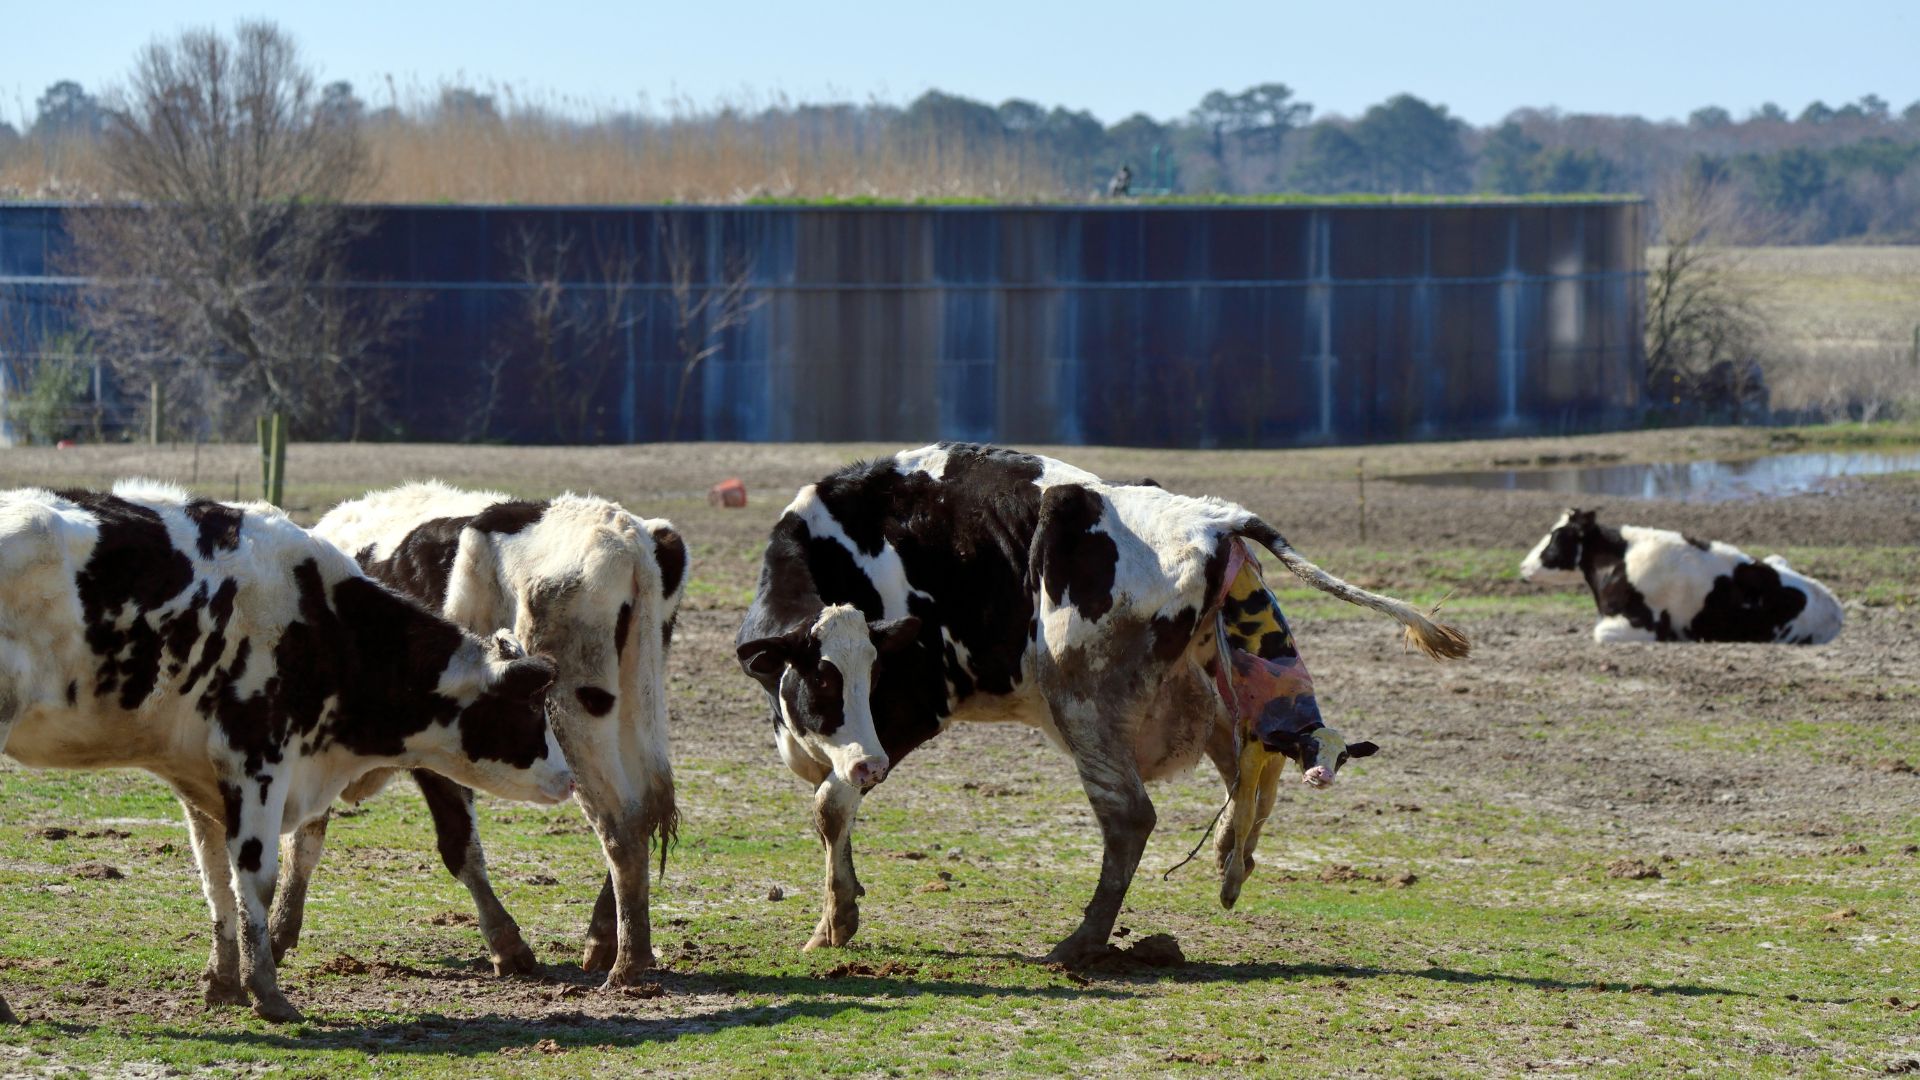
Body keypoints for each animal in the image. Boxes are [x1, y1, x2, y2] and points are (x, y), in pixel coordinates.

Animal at [0, 478, 568, 1014]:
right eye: (529, 706)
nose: (567, 777)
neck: (324, 624)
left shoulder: (199, 774)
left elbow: (217, 880)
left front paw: (223, 981)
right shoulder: (257, 761)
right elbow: (257, 877)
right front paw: (267, 991)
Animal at [268, 484, 691, 991]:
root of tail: (623, 532)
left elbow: (452, 845)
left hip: (575, 721)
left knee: (620, 821)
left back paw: (628, 963)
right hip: (634, 708)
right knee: (644, 807)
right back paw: (606, 939)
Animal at [725, 441, 1459, 960]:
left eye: (875, 677)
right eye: (822, 678)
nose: (871, 763)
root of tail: (1210, 516)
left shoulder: (912, 707)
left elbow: (830, 804)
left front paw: (836, 921)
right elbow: (834, 811)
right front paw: (840, 906)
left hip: (1082, 704)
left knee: (1132, 816)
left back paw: (1080, 944)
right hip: (1204, 683)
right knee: (1253, 761)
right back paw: (1230, 865)